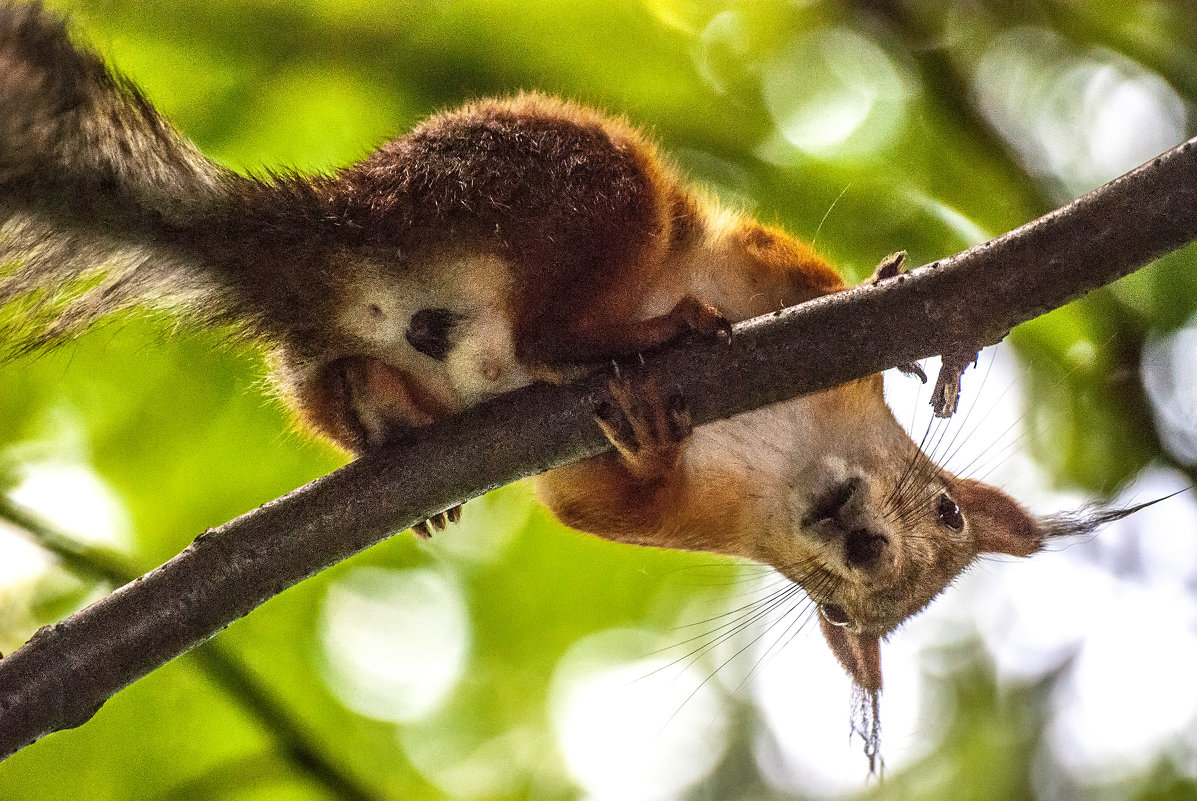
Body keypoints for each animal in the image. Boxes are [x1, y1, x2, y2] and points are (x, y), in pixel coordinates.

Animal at [0, 3, 1134, 751]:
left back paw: (387, 423)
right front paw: (892, 308)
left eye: (857, 615)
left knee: (357, 382)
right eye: (946, 511)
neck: (787, 456)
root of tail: (340, 230)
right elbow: (801, 272)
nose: (861, 546)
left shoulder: (634, 502)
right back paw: (648, 326)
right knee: (555, 319)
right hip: (580, 190)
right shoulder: (754, 261)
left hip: (339, 352)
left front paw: (653, 441)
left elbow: (588, 495)